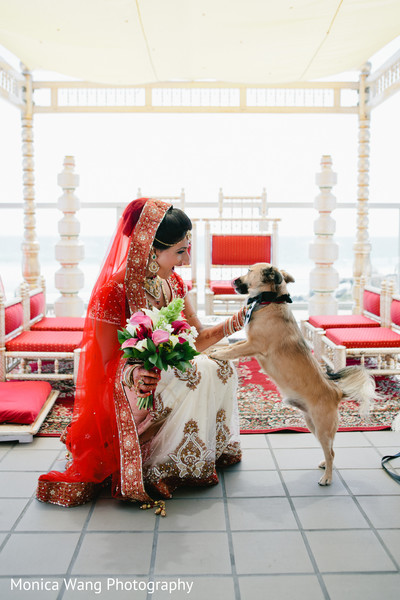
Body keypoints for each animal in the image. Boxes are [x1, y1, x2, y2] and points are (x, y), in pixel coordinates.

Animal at [211, 262, 376, 482]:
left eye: (248, 271)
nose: (233, 281)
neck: (269, 301)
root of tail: (336, 392)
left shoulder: (253, 345)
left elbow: (232, 350)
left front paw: (218, 353)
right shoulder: (248, 343)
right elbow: (233, 347)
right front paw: (214, 350)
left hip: (322, 428)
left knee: (331, 452)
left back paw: (327, 478)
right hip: (311, 423)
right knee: (330, 451)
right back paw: (325, 465)